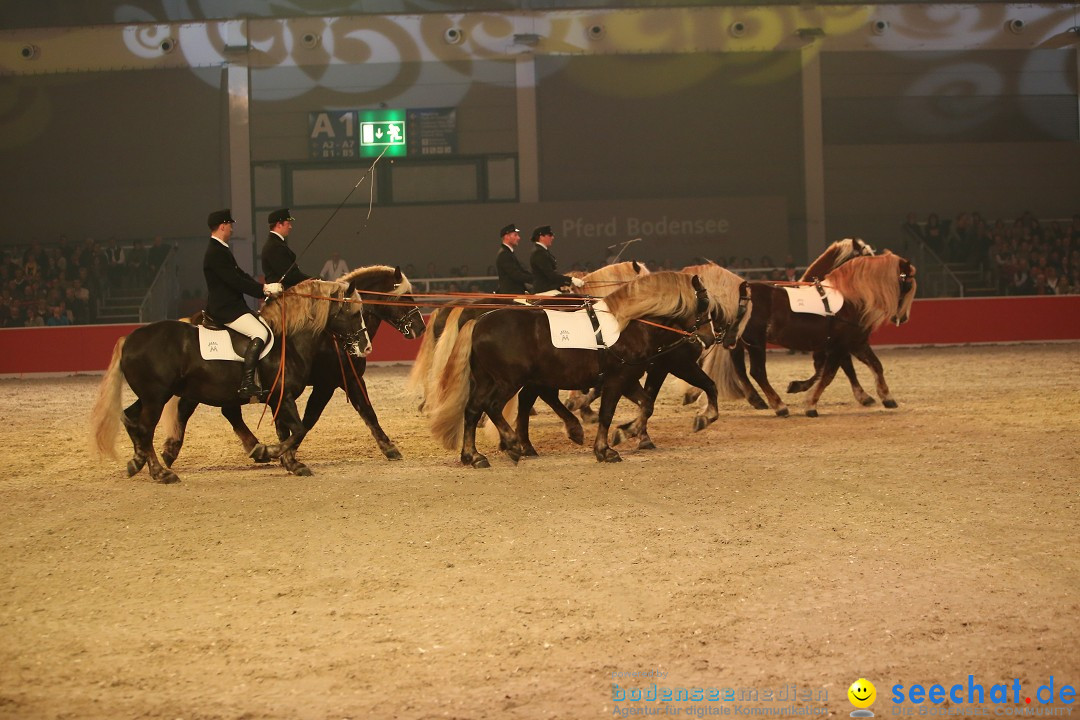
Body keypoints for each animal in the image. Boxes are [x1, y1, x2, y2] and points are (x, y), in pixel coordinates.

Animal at [89, 280, 367, 483]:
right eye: (355, 313)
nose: (365, 346)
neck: (287, 341)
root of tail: (129, 339)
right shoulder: (283, 396)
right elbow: (298, 429)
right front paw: (274, 452)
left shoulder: (278, 399)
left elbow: (289, 430)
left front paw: (292, 463)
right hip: (156, 397)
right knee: (146, 428)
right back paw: (161, 472)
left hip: (151, 396)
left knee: (130, 418)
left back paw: (137, 461)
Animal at [157, 266, 423, 472]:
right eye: (406, 296)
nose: (420, 327)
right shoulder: (333, 381)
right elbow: (330, 416)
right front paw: (389, 447)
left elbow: (357, 412)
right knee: (189, 409)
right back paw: (171, 452)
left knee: (225, 411)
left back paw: (254, 448)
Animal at [425, 272, 721, 468]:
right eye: (704, 303)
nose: (710, 338)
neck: (629, 324)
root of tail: (480, 321)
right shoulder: (617, 380)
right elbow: (607, 413)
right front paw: (605, 449)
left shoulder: (629, 379)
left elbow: (646, 404)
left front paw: (626, 432)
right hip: (509, 381)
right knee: (493, 406)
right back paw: (512, 444)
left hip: (489, 380)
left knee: (473, 409)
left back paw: (473, 456)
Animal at [725, 252, 911, 416]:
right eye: (907, 283)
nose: (903, 318)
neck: (850, 299)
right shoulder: (839, 347)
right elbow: (828, 374)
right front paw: (810, 404)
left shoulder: (855, 343)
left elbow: (874, 365)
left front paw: (885, 397)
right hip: (755, 342)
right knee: (757, 372)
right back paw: (779, 406)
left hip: (742, 342)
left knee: (740, 368)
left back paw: (758, 400)